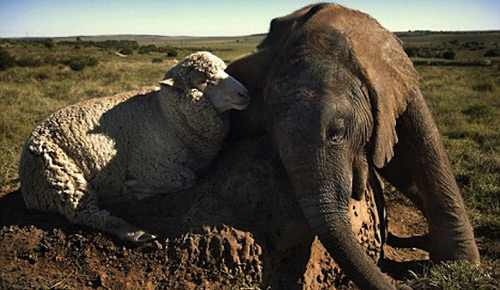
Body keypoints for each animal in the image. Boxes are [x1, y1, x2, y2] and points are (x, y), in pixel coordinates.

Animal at [19, 51, 250, 242]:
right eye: (206, 81)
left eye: (224, 70)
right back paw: (136, 230)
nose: (245, 94)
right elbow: (188, 178)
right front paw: (135, 186)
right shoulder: (149, 165)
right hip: (59, 176)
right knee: (85, 214)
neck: (167, 117)